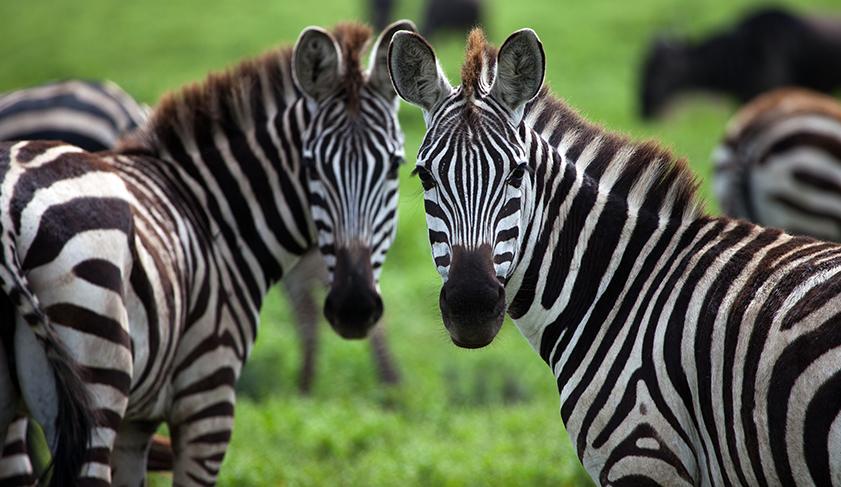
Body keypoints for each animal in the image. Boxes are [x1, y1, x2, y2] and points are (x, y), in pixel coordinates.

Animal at [0, 18, 414, 484]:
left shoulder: (138, 421)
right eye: (310, 166)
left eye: (394, 166)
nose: (354, 308)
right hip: (98, 381)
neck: (210, 210)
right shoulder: (207, 396)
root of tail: (11, 207)